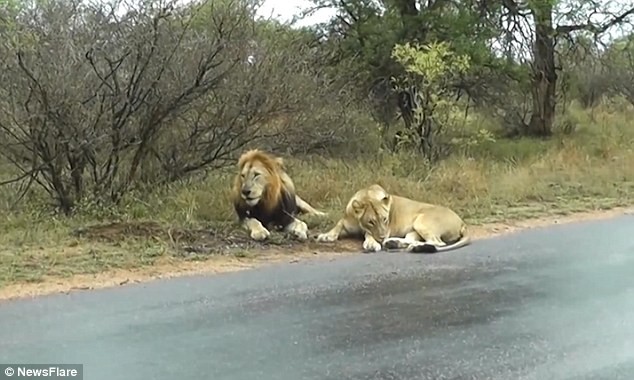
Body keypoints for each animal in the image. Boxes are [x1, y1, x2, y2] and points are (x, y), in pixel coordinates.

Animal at [316, 183, 470, 252]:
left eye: (385, 219)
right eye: (371, 222)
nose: (383, 237)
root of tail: (462, 222)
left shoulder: (387, 229)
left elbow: (368, 234)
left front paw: (371, 243)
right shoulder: (347, 221)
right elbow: (339, 224)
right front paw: (325, 236)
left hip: (421, 221)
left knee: (438, 242)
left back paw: (413, 246)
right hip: (414, 229)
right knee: (411, 239)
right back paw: (393, 243)